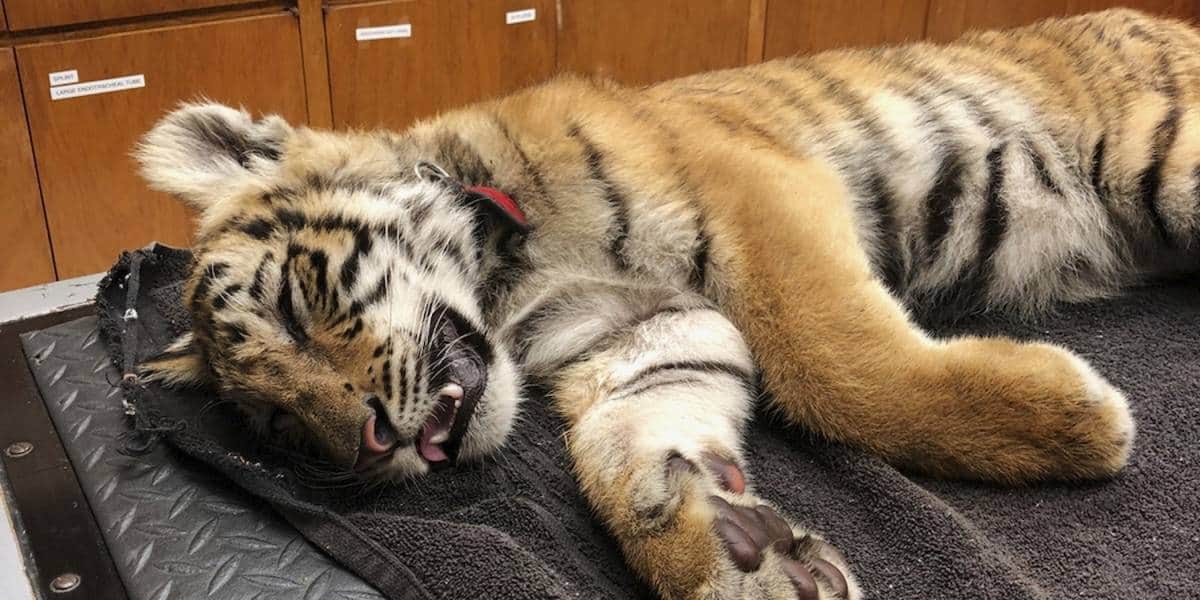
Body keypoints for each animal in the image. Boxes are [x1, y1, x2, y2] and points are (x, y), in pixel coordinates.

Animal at [132, 8, 1200, 599]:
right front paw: (735, 553)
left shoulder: (757, 196)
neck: (513, 287)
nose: (366, 446)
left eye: (297, 305)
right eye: (278, 425)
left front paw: (1075, 422)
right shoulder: (642, 334)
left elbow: (836, 364)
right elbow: (626, 448)